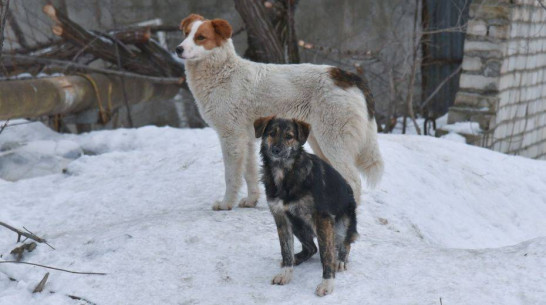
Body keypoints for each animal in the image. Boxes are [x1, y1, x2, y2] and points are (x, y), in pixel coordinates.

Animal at [176, 13, 380, 209]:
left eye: (200, 37)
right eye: (186, 34)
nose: (178, 49)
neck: (222, 71)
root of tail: (348, 76)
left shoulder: (231, 137)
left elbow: (231, 176)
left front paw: (226, 204)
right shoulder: (246, 139)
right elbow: (250, 174)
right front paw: (251, 201)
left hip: (333, 141)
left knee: (353, 180)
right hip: (319, 142)